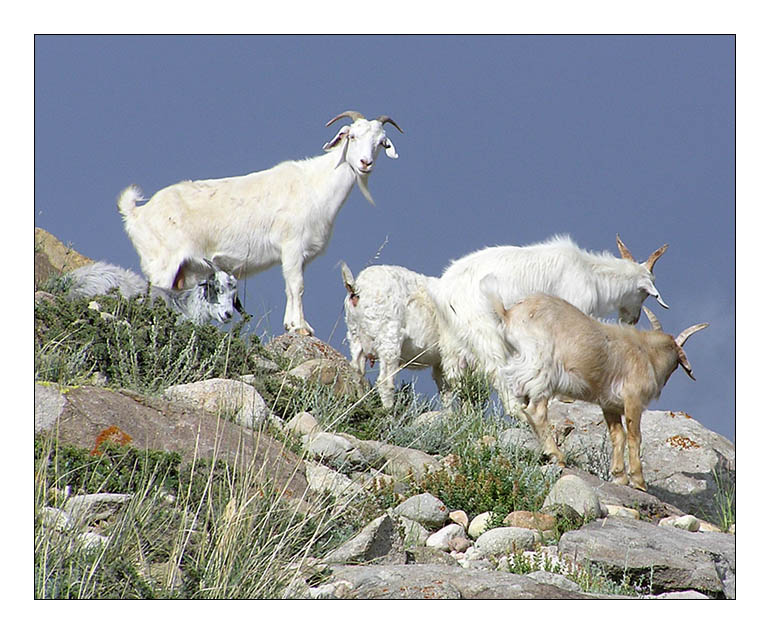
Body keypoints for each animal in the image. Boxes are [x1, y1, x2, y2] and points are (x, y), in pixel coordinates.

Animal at [118, 108, 402, 336]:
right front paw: (301, 328)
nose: (365, 163)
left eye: (380, 143)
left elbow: (291, 287)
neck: (314, 185)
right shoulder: (291, 246)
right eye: (352, 136)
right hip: (162, 265)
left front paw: (292, 324)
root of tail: (136, 213)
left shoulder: (300, 255)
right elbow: (297, 286)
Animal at [340, 260, 440, 408]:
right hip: (388, 337)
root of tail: (357, 289)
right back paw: (389, 410)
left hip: (355, 335)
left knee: (357, 372)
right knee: (384, 381)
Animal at [424, 235, 668, 408]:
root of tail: (443, 289)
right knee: (496, 369)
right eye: (644, 294)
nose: (632, 319)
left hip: (453, 340)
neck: (591, 273)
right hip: (484, 330)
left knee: (452, 379)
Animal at [480, 274, 708, 486]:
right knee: (536, 411)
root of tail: (508, 315)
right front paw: (639, 481)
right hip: (541, 369)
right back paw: (557, 455)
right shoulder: (633, 399)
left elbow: (618, 436)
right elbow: (635, 436)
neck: (647, 353)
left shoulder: (609, 404)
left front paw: (619, 476)